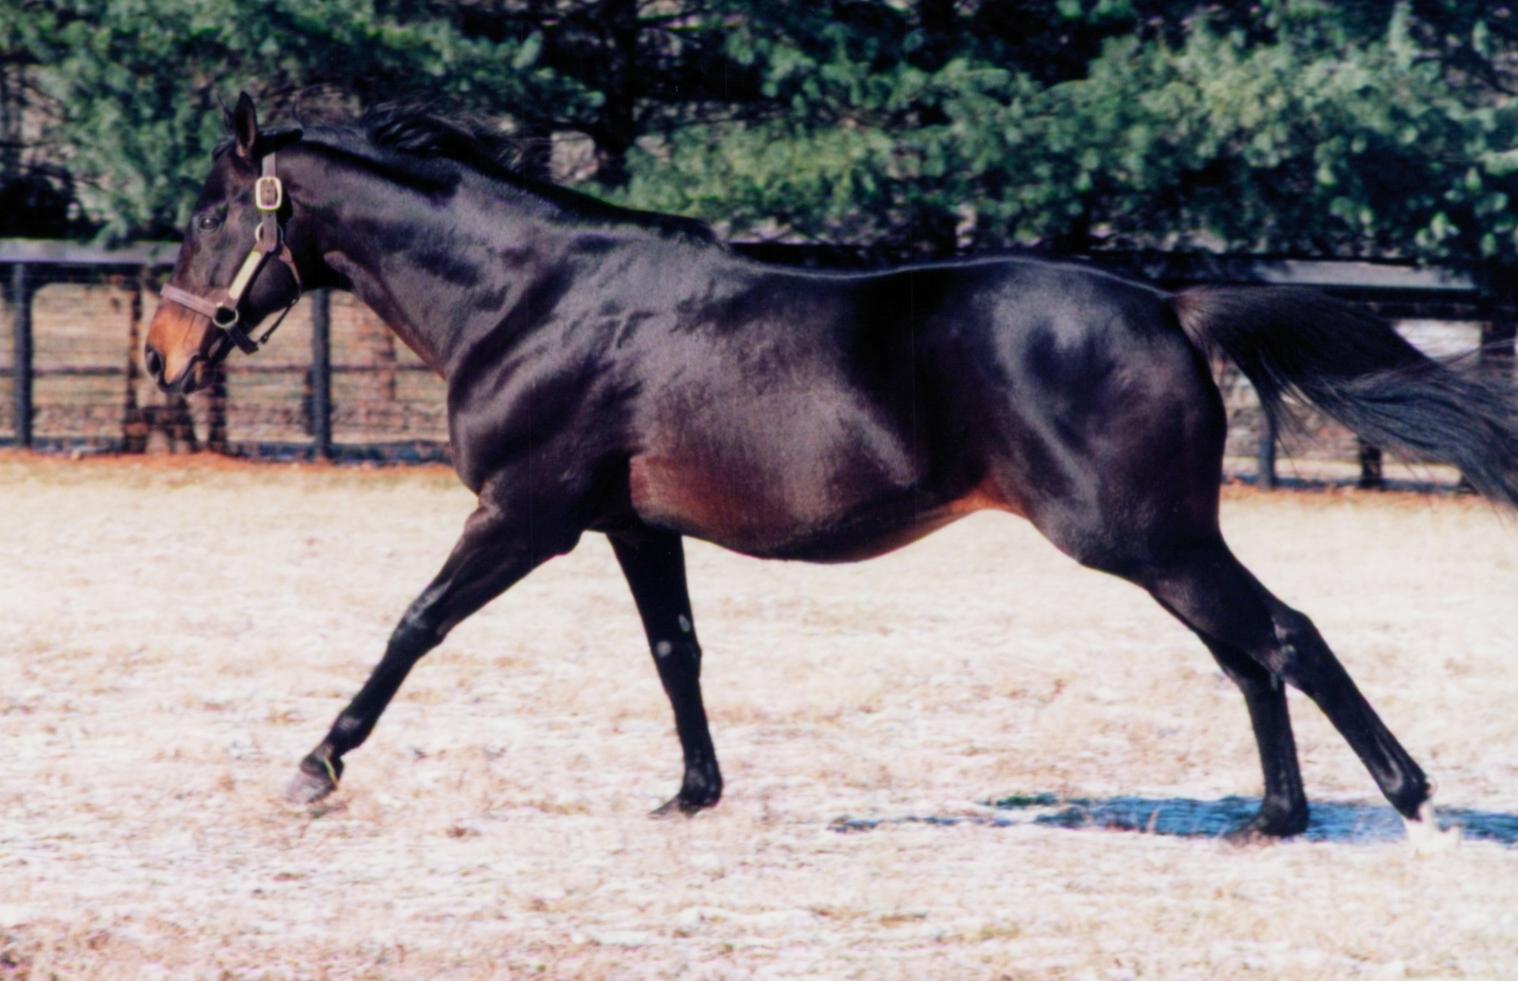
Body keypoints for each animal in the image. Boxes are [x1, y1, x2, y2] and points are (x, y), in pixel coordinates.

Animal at [145, 93, 1518, 843]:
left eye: (209, 218)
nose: (162, 353)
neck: (535, 300)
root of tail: (1170, 307)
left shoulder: (525, 513)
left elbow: (416, 625)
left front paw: (313, 768)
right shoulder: (631, 526)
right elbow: (676, 653)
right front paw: (692, 794)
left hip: (1143, 537)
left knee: (1281, 638)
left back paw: (1402, 805)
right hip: (1161, 543)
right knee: (1252, 652)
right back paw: (1282, 816)